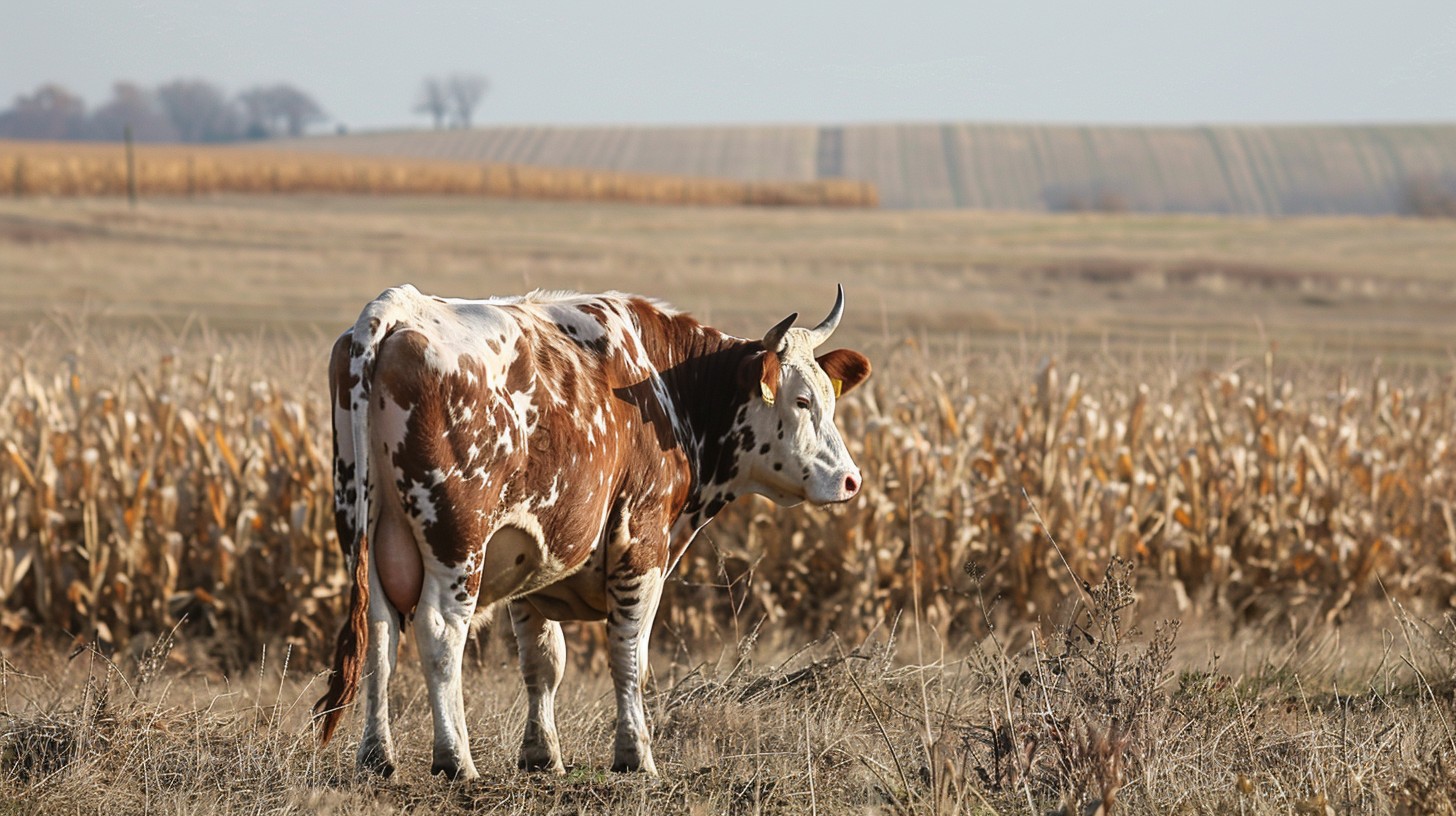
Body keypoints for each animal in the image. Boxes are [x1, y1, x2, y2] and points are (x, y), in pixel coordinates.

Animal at [313, 284, 871, 780]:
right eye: (801, 401)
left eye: (830, 397)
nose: (851, 480)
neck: (666, 392)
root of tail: (399, 306)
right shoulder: (642, 542)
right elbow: (629, 657)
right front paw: (635, 755)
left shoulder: (530, 548)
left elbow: (543, 662)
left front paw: (542, 756)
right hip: (457, 543)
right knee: (439, 632)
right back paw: (455, 759)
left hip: (367, 534)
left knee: (379, 635)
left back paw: (377, 757)